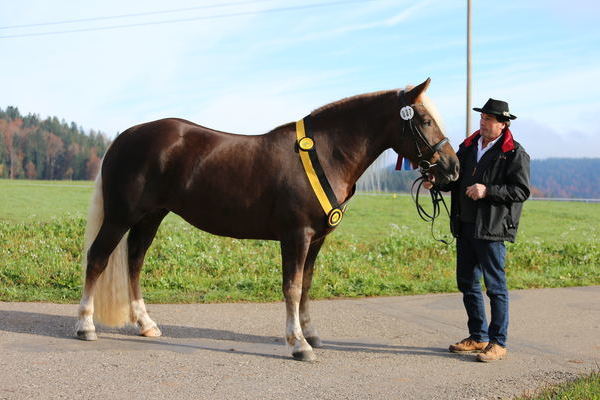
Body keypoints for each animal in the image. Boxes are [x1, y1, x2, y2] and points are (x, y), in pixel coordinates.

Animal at [76, 79, 460, 362]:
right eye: (425, 120)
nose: (452, 168)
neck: (324, 155)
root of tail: (125, 136)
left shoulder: (317, 239)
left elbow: (306, 286)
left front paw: (311, 334)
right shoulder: (296, 235)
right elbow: (291, 287)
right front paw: (298, 344)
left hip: (151, 217)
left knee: (134, 262)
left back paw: (146, 324)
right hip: (121, 215)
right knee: (97, 259)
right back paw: (85, 326)